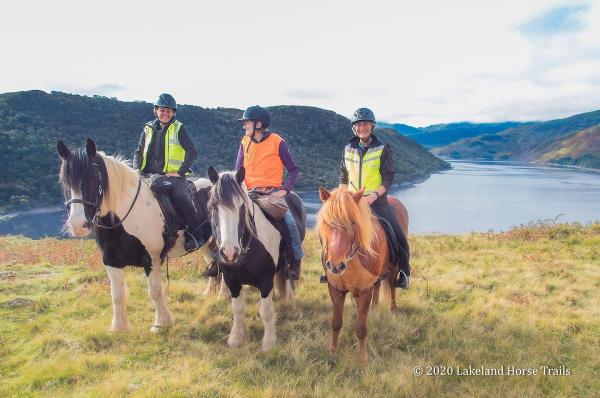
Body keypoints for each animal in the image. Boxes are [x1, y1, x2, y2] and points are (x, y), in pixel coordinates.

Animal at [55, 139, 211, 332]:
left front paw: (162, 323)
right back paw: (213, 294)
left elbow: (155, 292)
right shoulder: (111, 261)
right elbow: (117, 295)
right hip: (206, 244)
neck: (123, 219)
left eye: (92, 178)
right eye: (64, 180)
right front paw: (119, 327)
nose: (77, 225)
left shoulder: (151, 259)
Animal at [206, 166, 302, 350]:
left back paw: (289, 300)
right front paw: (237, 338)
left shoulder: (265, 281)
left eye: (242, 206)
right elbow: (237, 309)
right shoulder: (232, 281)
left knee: (287, 277)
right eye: (213, 206)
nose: (229, 252)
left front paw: (269, 342)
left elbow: (266, 312)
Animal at [316, 187, 410, 366]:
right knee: (378, 285)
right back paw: (375, 307)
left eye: (353, 223)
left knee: (392, 286)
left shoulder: (364, 291)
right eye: (325, 222)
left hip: (394, 267)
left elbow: (361, 329)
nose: (336, 266)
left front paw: (362, 360)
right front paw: (332, 352)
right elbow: (336, 323)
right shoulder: (335, 290)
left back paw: (393, 308)